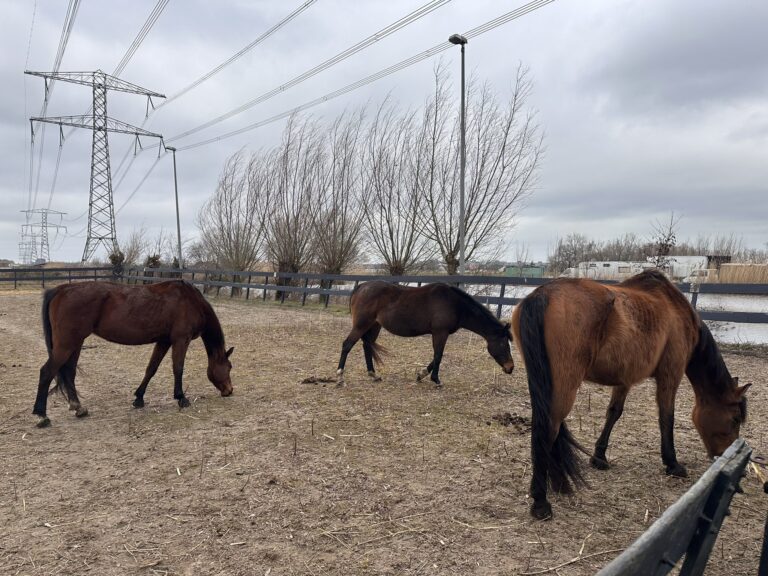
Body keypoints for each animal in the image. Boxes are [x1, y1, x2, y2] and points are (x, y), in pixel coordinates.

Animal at [31, 282, 234, 426]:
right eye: (229, 367)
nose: (229, 390)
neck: (189, 301)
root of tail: (60, 289)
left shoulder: (163, 341)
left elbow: (151, 368)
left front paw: (139, 398)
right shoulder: (180, 340)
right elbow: (178, 368)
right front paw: (181, 398)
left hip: (75, 344)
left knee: (69, 372)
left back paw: (78, 408)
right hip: (67, 344)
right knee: (46, 372)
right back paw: (41, 416)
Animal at [338, 280, 512, 388]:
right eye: (504, 343)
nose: (510, 367)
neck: (455, 304)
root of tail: (361, 287)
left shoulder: (439, 333)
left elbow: (436, 356)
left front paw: (421, 375)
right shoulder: (440, 332)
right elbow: (438, 356)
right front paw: (436, 380)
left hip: (374, 326)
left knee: (366, 346)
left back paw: (373, 374)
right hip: (362, 325)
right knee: (347, 345)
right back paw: (340, 377)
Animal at [510, 270, 752, 520]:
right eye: (735, 419)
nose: (727, 454)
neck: (676, 311)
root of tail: (542, 294)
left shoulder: (624, 379)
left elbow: (614, 413)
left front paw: (599, 457)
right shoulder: (670, 376)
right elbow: (667, 418)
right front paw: (672, 463)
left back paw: (559, 483)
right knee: (549, 428)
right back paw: (541, 500)